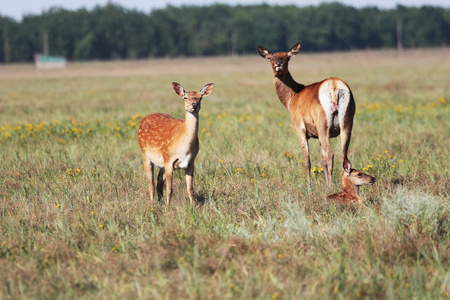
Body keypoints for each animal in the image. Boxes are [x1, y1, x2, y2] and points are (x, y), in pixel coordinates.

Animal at [258, 42, 356, 186]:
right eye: (271, 58)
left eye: (287, 58)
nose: (278, 63)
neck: (291, 99)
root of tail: (334, 88)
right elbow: (321, 161)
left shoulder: (299, 127)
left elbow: (307, 160)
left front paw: (308, 183)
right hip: (347, 121)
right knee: (344, 156)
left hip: (322, 123)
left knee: (331, 154)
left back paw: (331, 185)